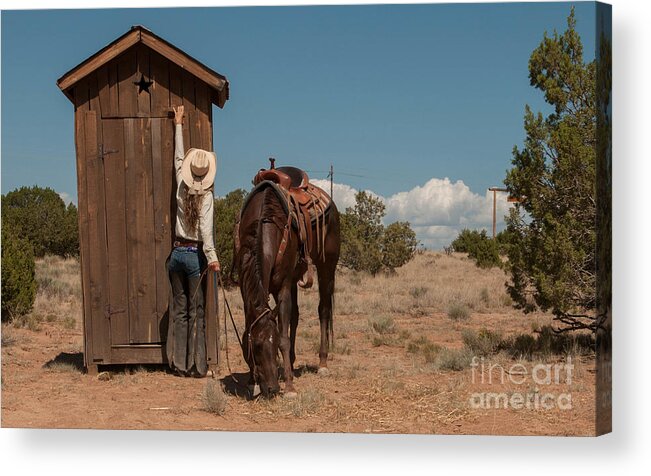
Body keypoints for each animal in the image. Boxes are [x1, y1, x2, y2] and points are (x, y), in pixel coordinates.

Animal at [237, 173, 344, 396]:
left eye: (274, 343)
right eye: (256, 346)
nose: (272, 388)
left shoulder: (283, 287)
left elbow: (285, 335)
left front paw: (289, 386)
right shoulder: (245, 291)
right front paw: (252, 381)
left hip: (327, 267)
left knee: (324, 310)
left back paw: (322, 363)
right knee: (295, 316)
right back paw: (293, 365)